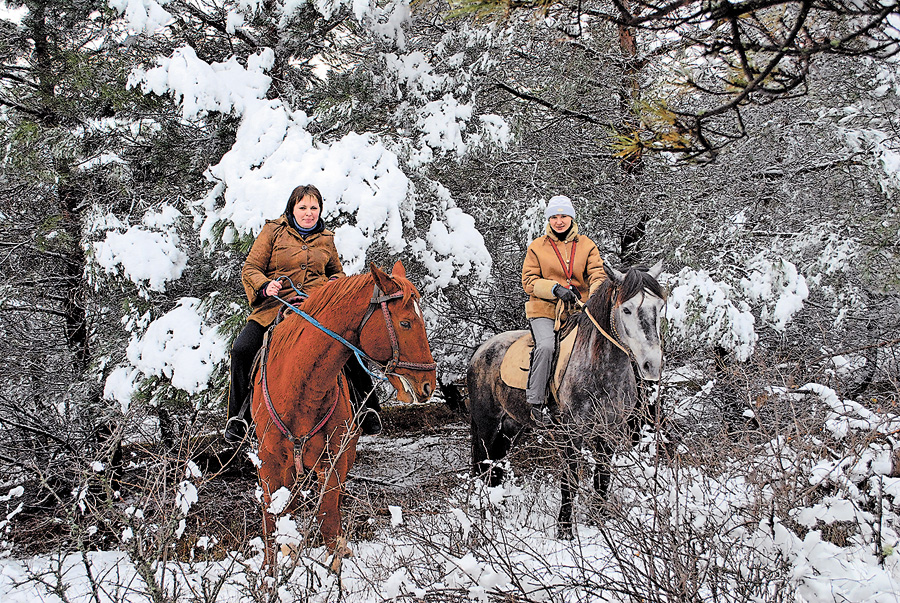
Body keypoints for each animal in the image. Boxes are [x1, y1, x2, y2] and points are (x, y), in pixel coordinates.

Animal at [251, 264, 438, 568]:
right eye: (406, 323)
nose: (428, 385)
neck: (300, 388)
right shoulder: (269, 464)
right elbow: (272, 521)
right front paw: (271, 570)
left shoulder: (334, 461)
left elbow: (329, 520)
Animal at [468, 260, 664, 536]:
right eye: (626, 309)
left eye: (659, 307)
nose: (652, 365)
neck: (599, 368)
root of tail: (480, 351)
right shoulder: (573, 433)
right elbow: (570, 481)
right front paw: (565, 531)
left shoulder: (608, 431)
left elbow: (602, 477)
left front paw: (599, 521)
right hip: (486, 426)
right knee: (482, 467)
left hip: (510, 427)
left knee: (494, 469)